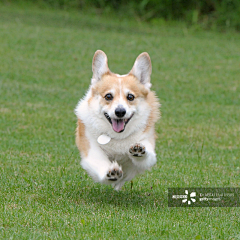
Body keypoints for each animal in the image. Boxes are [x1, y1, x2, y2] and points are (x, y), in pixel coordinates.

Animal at [74, 49, 159, 190]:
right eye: (108, 96)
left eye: (130, 97)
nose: (120, 112)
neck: (117, 136)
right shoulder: (90, 150)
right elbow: (100, 161)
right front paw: (111, 172)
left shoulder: (147, 148)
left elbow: (145, 154)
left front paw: (138, 150)